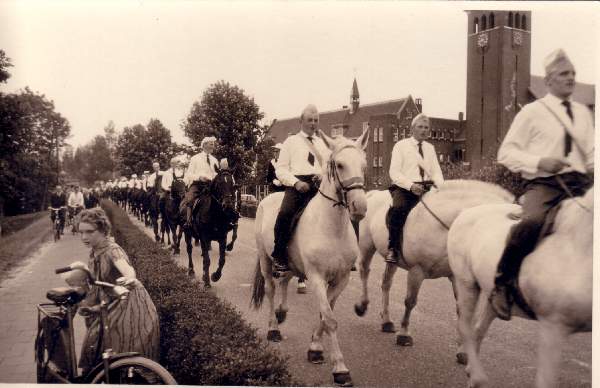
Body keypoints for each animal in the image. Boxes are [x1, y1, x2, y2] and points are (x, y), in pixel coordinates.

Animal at [251, 129, 368, 386]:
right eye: (340, 164)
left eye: (364, 164)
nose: (360, 207)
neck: (332, 228)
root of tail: (265, 200)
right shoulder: (316, 277)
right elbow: (330, 319)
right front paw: (340, 369)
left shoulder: (340, 279)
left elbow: (325, 314)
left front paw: (315, 348)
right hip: (266, 260)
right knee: (271, 289)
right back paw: (273, 328)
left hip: (291, 265)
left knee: (285, 282)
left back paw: (282, 312)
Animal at [354, 180, 512, 348]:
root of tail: (372, 195)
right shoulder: (417, 271)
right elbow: (410, 301)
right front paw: (404, 335)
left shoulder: (456, 276)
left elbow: (462, 308)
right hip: (367, 246)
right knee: (364, 272)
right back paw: (362, 306)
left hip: (391, 260)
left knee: (386, 284)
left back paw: (386, 321)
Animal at [448, 186, 592, 388]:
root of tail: (466, 212)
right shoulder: (553, 327)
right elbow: (545, 381)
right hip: (466, 284)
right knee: (465, 327)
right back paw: (477, 376)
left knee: (479, 329)